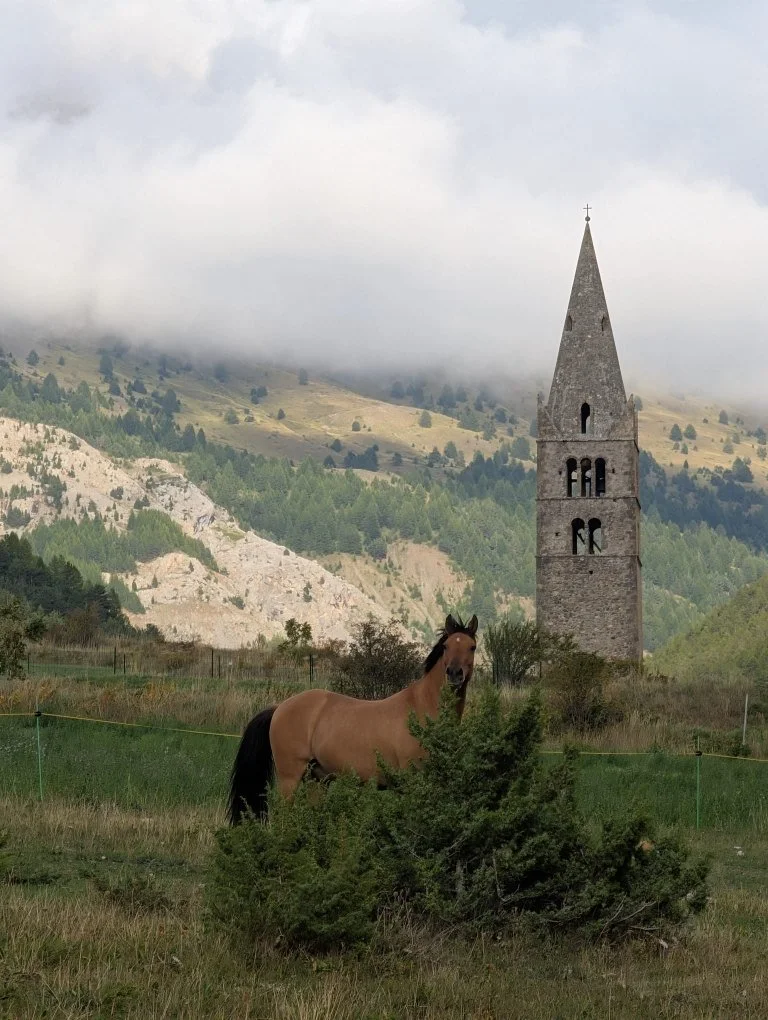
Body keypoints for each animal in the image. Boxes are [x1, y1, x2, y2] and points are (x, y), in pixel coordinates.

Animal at [228, 613, 478, 823]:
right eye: (446, 646)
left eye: (472, 647)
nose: (454, 674)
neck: (421, 707)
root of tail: (280, 707)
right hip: (290, 777)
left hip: (316, 779)